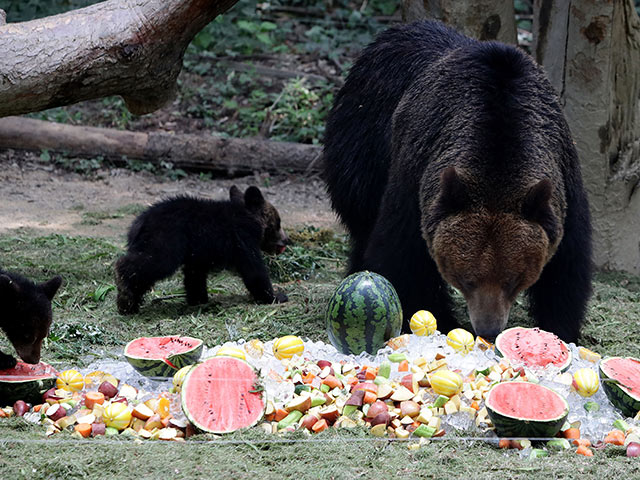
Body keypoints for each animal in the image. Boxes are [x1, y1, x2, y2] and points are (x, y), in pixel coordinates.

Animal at [115, 185, 290, 316]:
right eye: (278, 222)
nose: (286, 240)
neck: (252, 221)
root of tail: (138, 223)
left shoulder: (199, 250)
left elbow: (195, 274)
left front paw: (198, 298)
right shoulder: (241, 239)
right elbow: (254, 269)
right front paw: (275, 296)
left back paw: (130, 303)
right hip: (165, 240)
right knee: (153, 263)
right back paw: (124, 293)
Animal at [324, 20, 596, 344]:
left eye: (514, 278)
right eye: (467, 278)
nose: (488, 329)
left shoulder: (563, 183)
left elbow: (566, 268)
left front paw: (559, 328)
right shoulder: (414, 177)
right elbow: (403, 256)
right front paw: (439, 318)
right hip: (363, 143)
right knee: (363, 220)